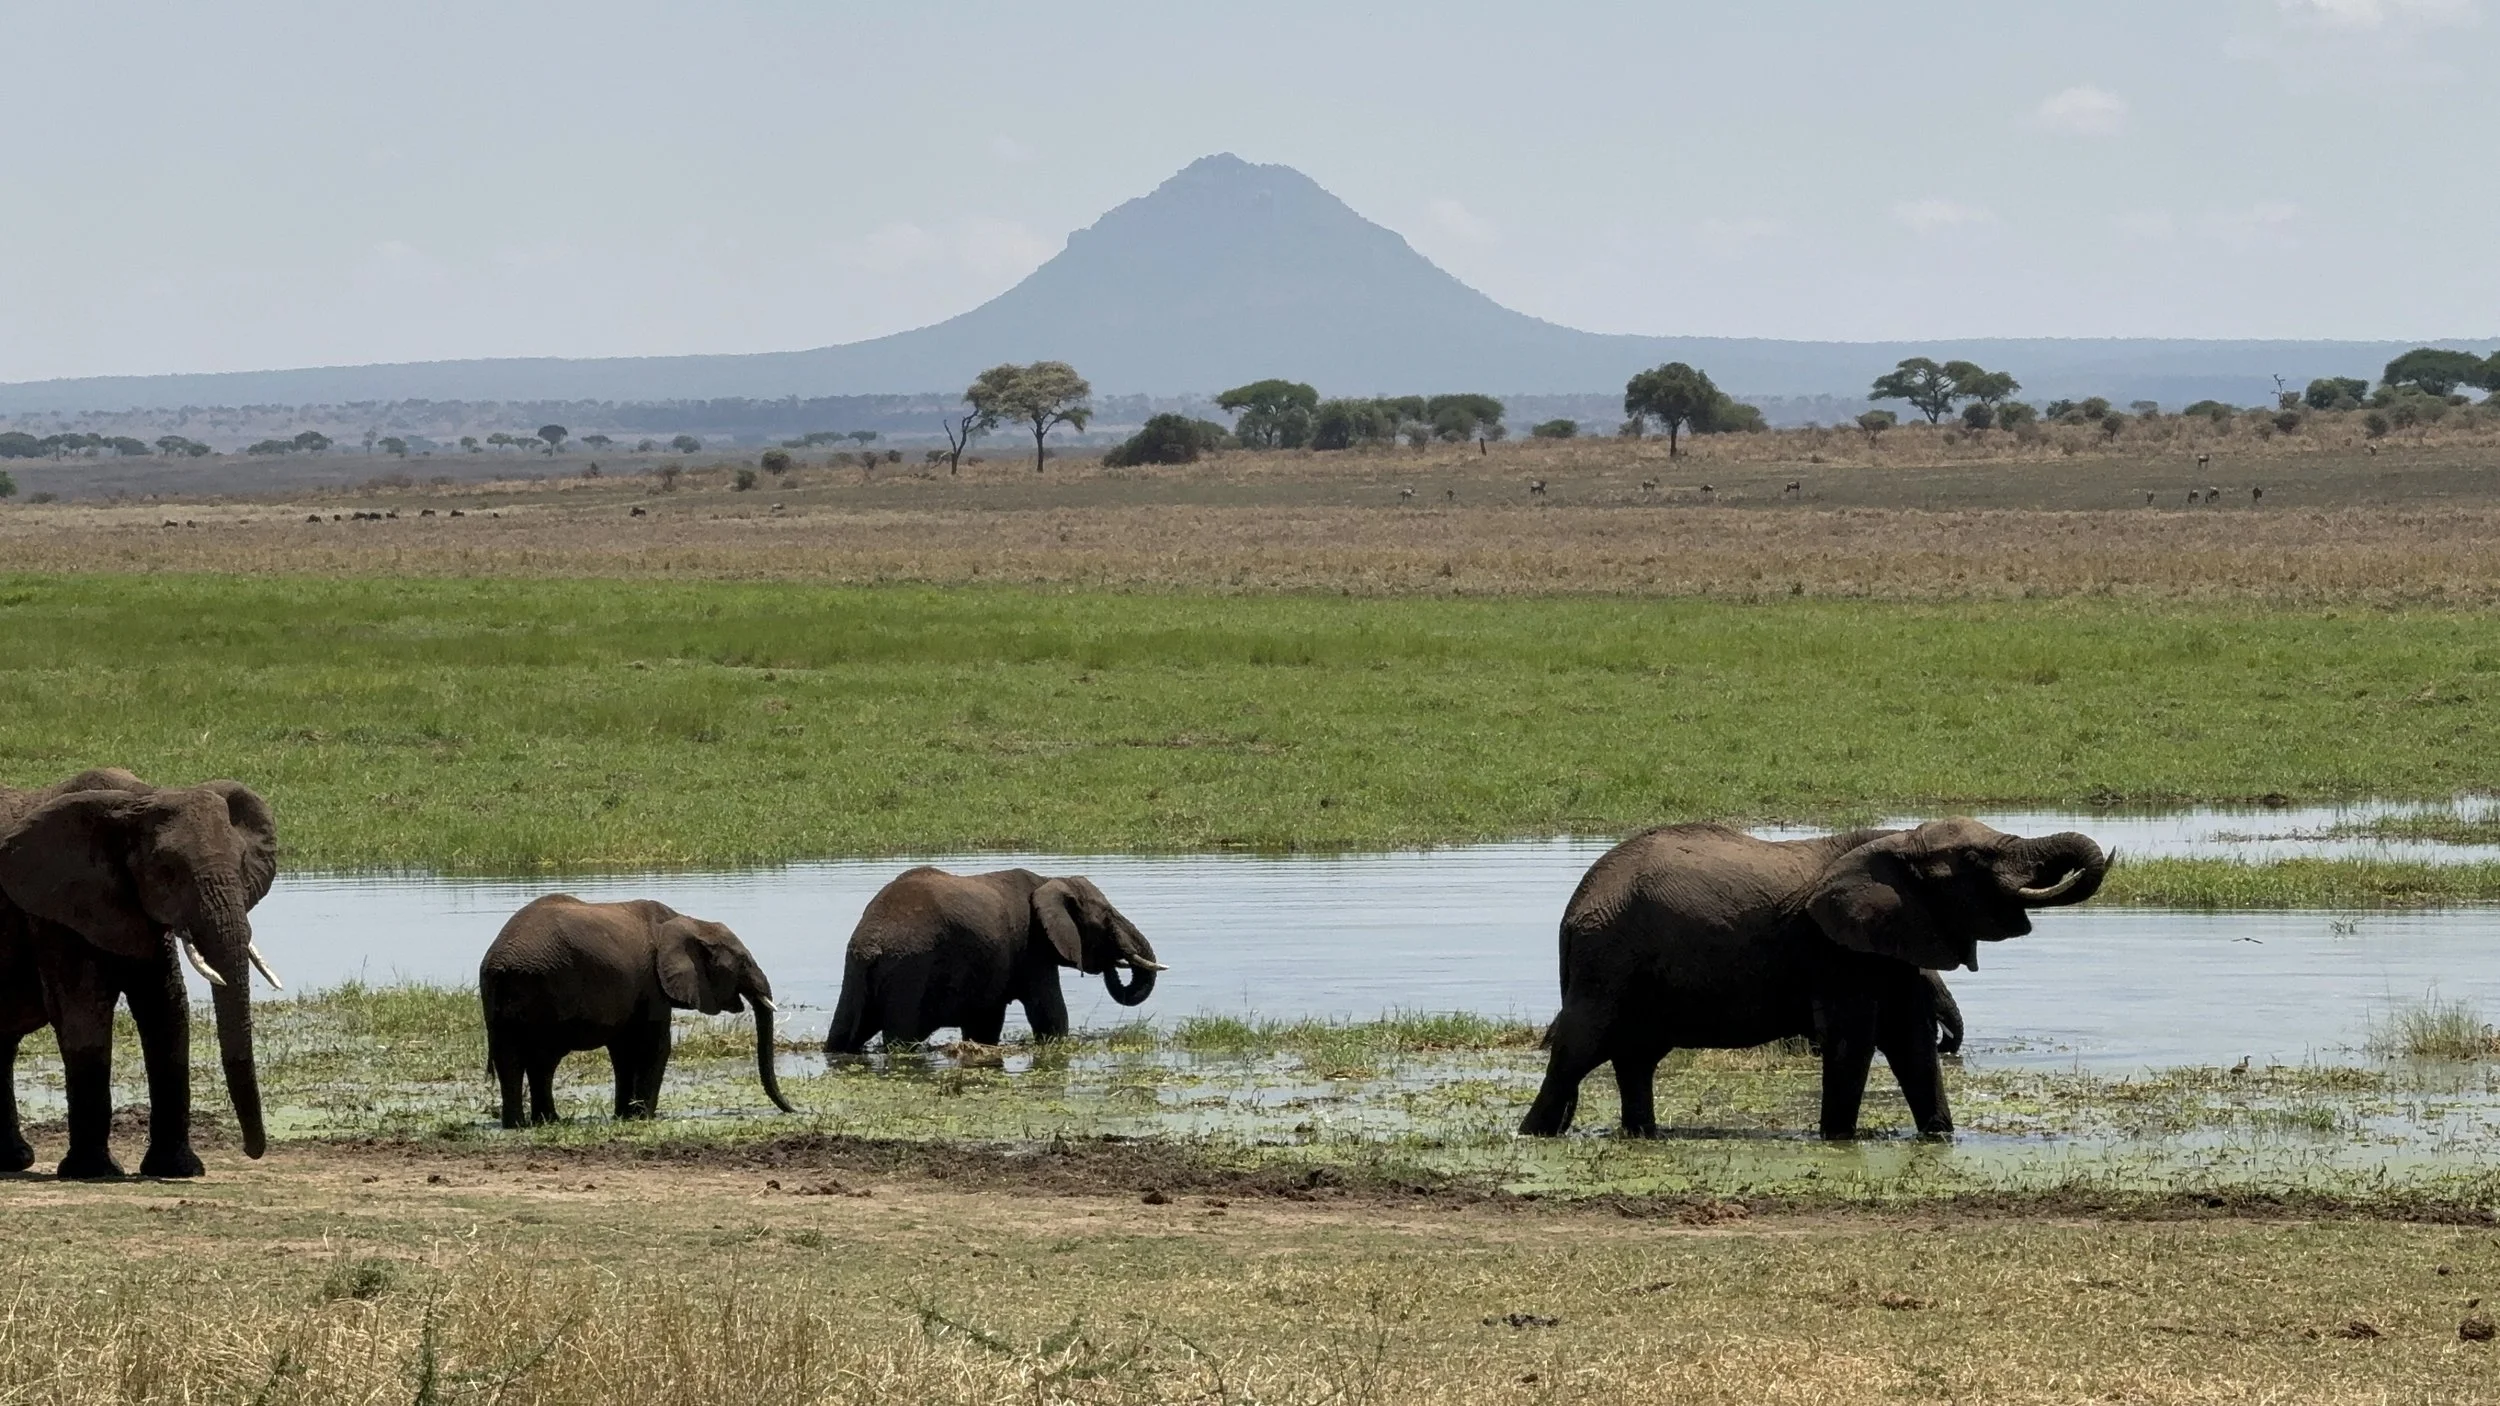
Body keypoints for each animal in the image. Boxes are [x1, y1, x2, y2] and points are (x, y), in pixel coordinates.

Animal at [0, 772, 280, 1178]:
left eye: (242, 862)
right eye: (168, 870)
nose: (251, 1150)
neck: (137, 800)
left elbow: (167, 1010)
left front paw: (179, 1169)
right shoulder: (53, 912)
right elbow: (83, 1013)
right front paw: (94, 1171)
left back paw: (14, 1160)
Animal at [479, 895, 796, 1128]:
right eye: (743, 961)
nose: (795, 1110)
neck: (689, 922)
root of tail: (498, 962)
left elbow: (623, 1052)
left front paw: (624, 1117)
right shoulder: (651, 983)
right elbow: (655, 1046)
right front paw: (645, 1118)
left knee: (520, 1059)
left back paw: (531, 1123)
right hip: (542, 988)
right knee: (539, 1059)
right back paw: (536, 1123)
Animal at [823, 867, 1164, 1053]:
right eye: (1106, 917)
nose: (1116, 960)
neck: (1050, 880)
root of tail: (870, 943)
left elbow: (985, 1025)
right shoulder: (1033, 948)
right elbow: (1050, 1015)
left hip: (855, 973)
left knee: (842, 1035)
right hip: (908, 971)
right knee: (900, 1039)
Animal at [1519, 818, 2107, 1141]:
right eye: (1973, 857)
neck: (1897, 841)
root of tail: (1577, 903)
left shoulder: (1887, 946)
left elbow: (1912, 1044)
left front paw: (1940, 1138)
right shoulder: (1836, 951)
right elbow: (1855, 1041)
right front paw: (1839, 1140)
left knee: (1636, 1058)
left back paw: (1642, 1135)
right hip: (1607, 959)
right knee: (1580, 1049)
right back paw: (1532, 1135)